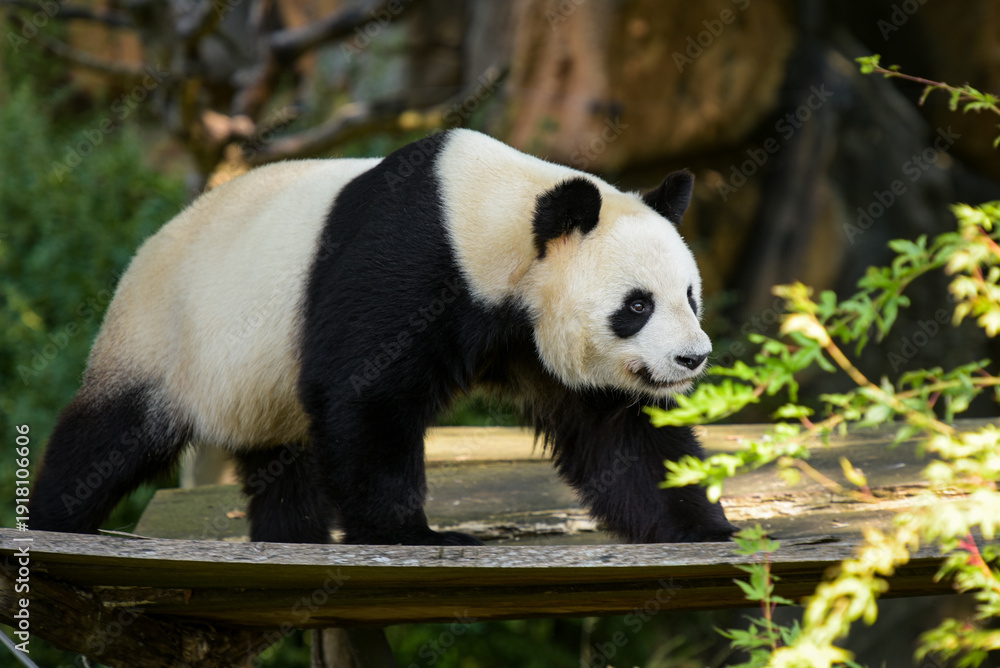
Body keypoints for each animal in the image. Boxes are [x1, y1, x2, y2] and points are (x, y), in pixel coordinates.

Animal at [31, 129, 736, 545]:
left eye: (690, 296)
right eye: (636, 305)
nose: (691, 358)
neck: (496, 216)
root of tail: (147, 248)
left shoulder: (530, 333)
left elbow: (619, 433)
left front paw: (702, 525)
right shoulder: (414, 260)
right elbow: (366, 394)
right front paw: (413, 535)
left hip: (259, 383)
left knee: (285, 459)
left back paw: (292, 535)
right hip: (164, 332)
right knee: (111, 434)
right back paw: (54, 521)